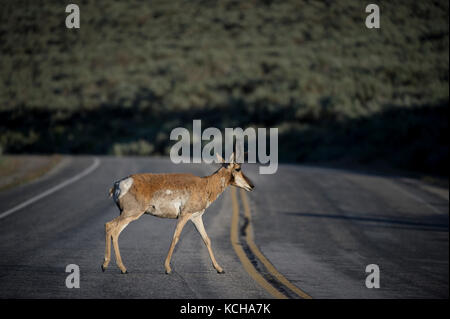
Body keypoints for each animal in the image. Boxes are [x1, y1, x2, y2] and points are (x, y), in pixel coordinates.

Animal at [102, 153, 255, 276]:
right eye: (238, 168)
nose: (252, 186)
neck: (205, 184)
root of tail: (118, 184)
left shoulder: (196, 217)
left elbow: (206, 239)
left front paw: (219, 268)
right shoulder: (184, 216)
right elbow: (175, 237)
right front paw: (168, 268)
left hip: (126, 213)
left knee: (110, 226)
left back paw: (109, 265)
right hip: (132, 213)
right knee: (113, 229)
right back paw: (118, 267)